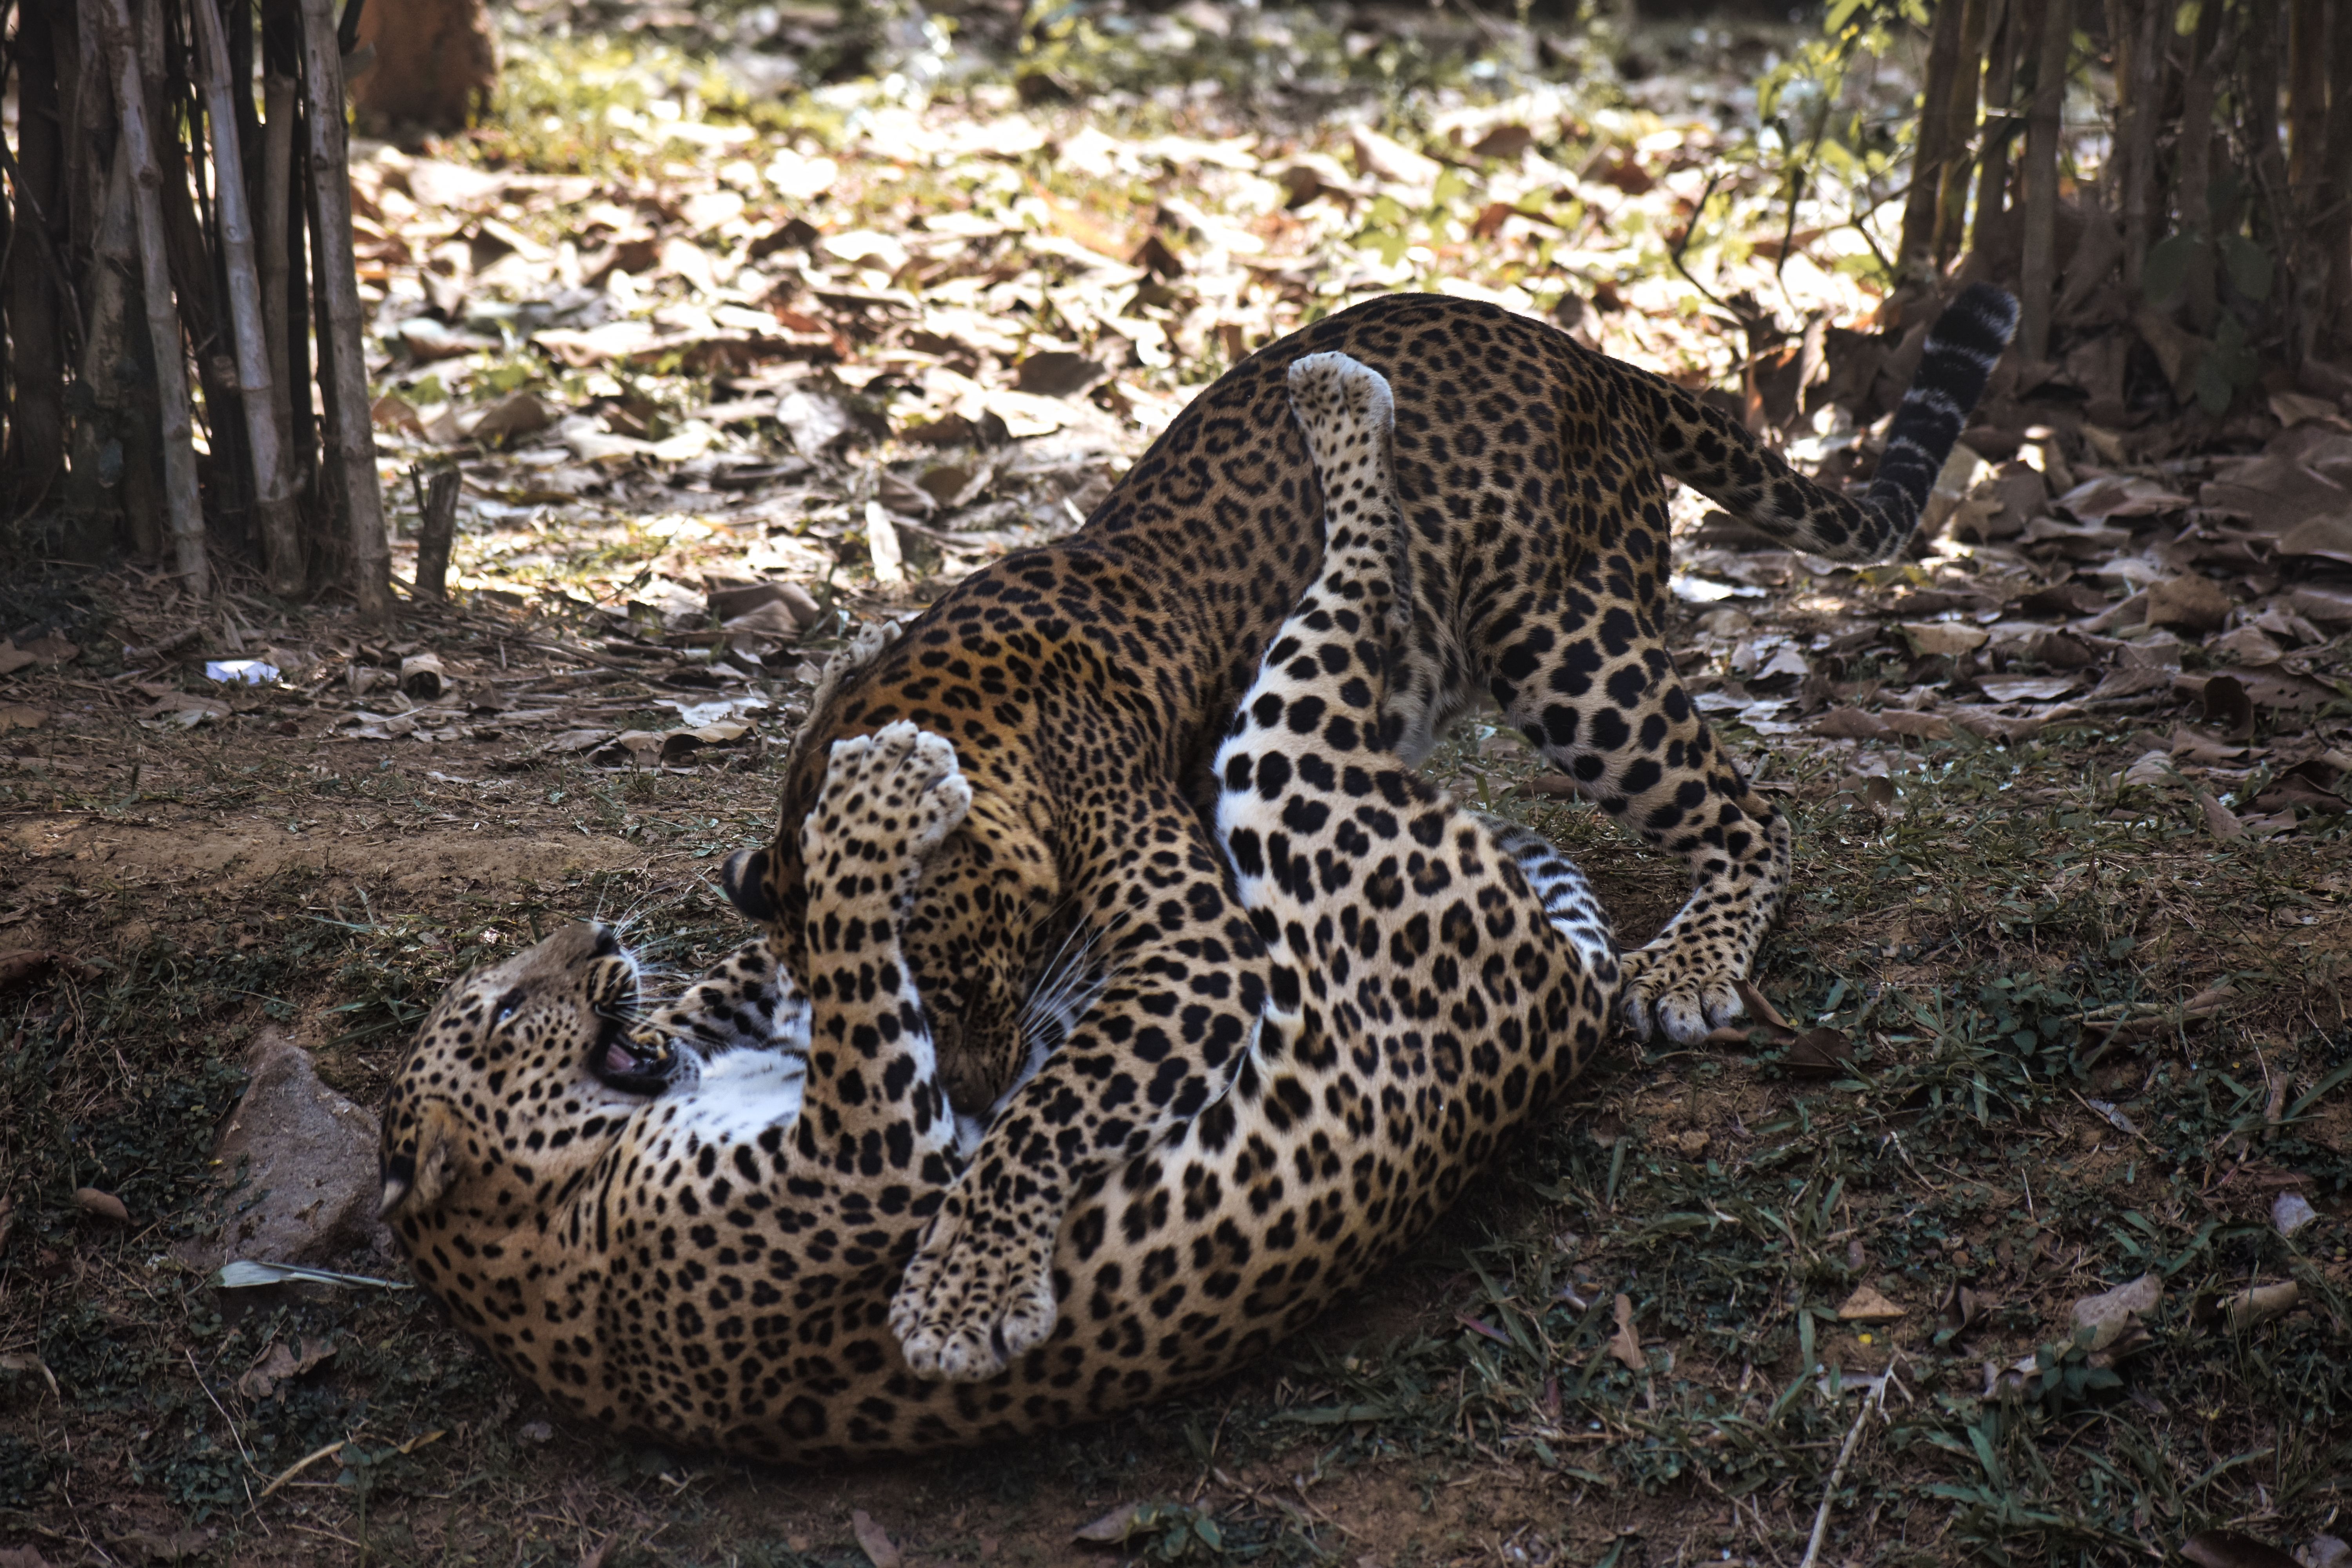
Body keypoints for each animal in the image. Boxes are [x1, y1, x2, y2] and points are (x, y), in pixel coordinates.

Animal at [375, 349, 1618, 1457]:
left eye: (975, 982)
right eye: (496, 1015)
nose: (593, 935)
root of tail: (1567, 1000)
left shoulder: (1187, 950)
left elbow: (1051, 1106)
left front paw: (962, 1286)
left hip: (1287, 754)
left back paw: (1337, 401)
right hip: (1298, 766)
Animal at [721, 284, 2019, 1382]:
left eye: (950, 977)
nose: (964, 1102)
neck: (959, 708)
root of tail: (1577, 351)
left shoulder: (1194, 951)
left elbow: (1059, 1108)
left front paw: (962, 1282)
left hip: (1566, 650)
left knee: (1753, 814)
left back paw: (1689, 969)